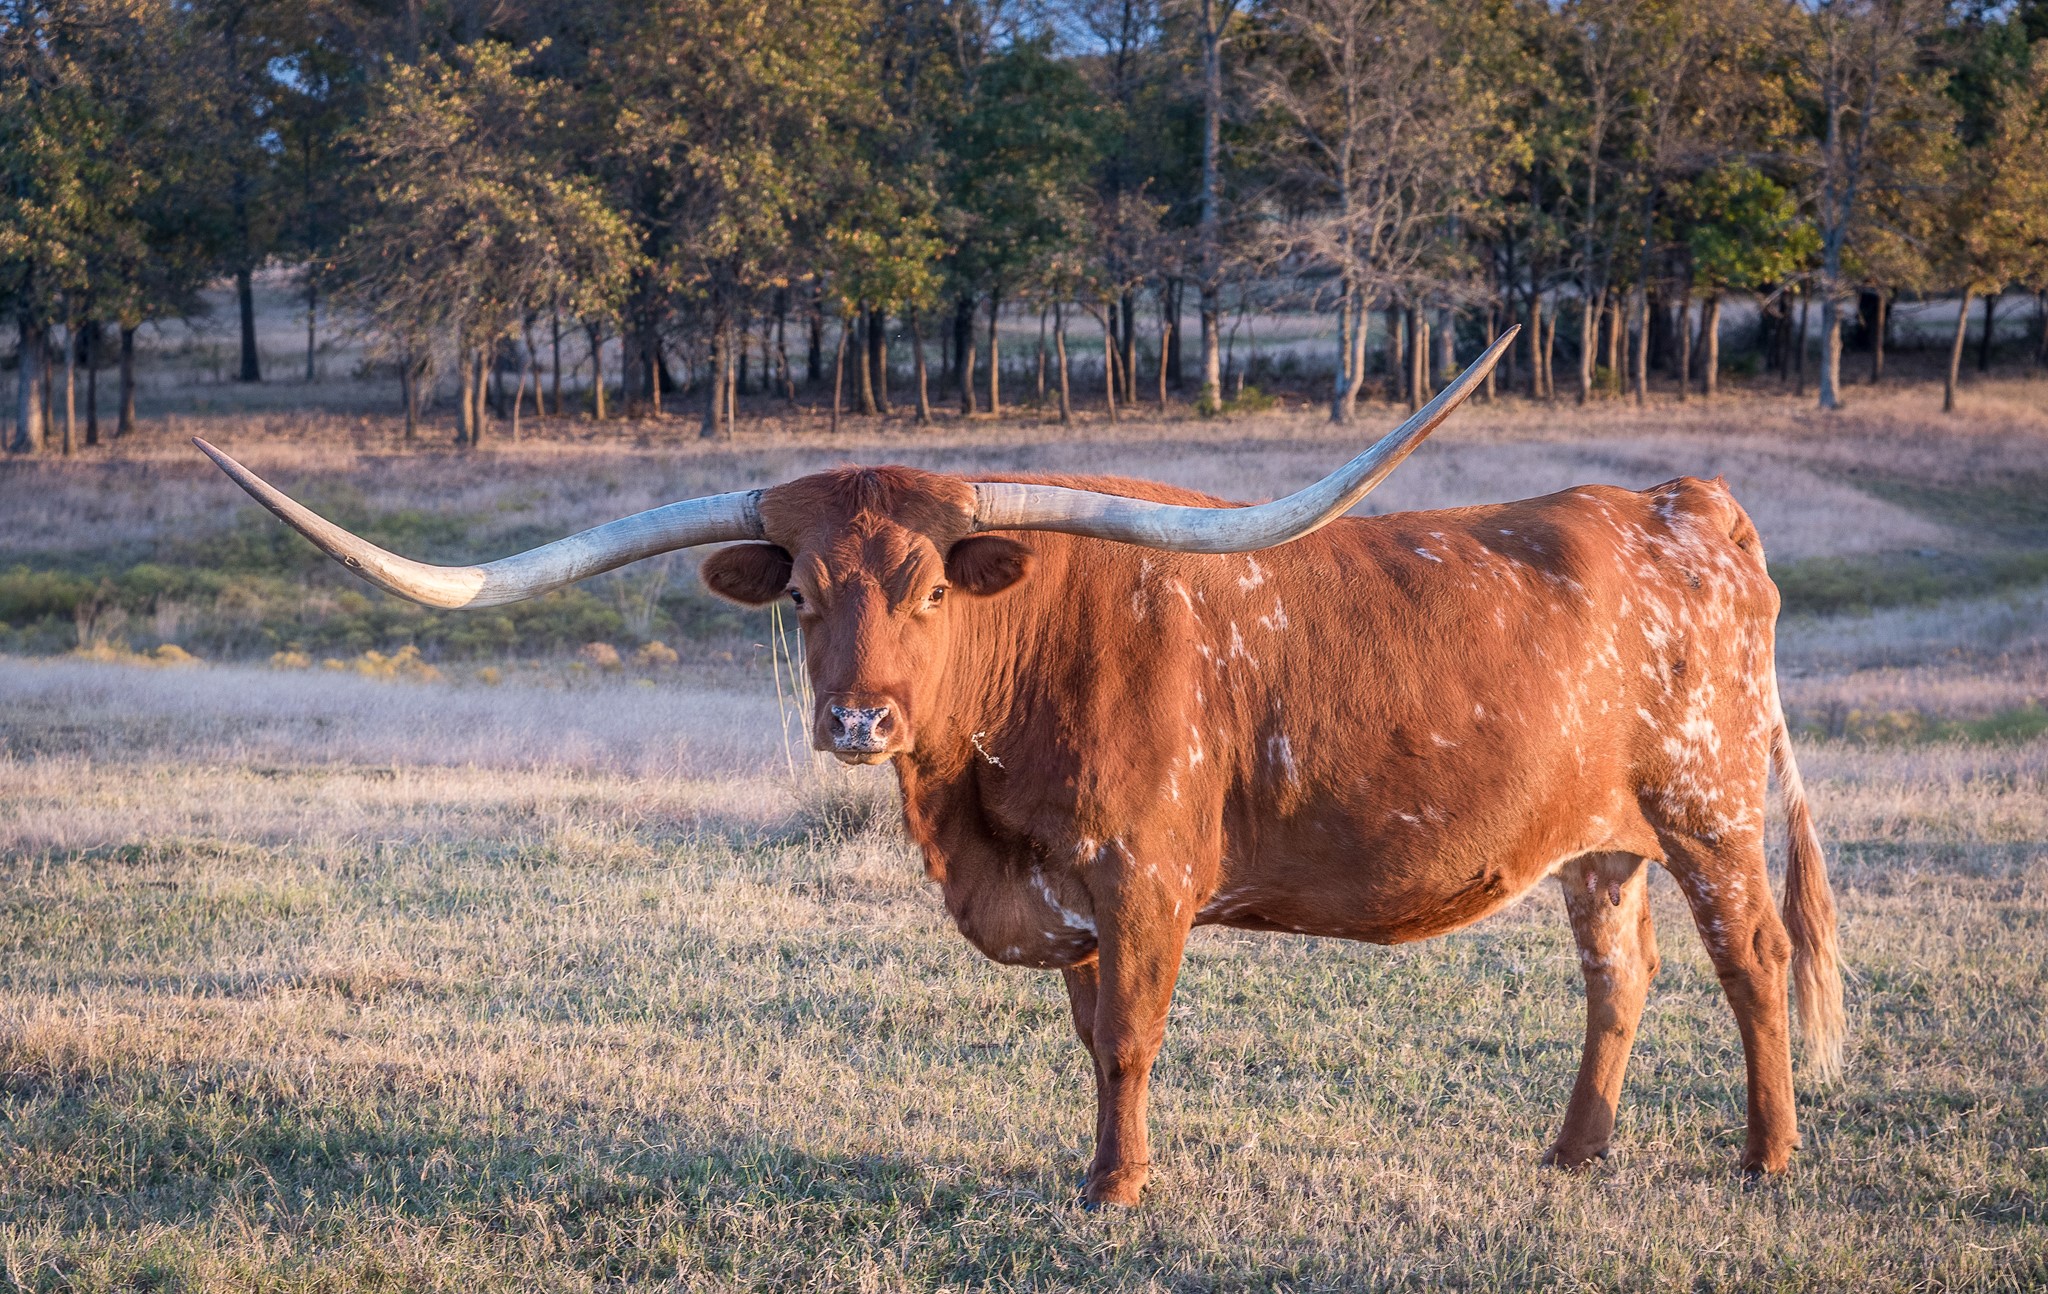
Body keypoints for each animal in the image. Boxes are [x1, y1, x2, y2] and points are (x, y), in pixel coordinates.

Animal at [196, 330, 1844, 1208]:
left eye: (933, 586)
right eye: (802, 592)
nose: (855, 722)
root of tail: (1681, 499)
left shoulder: (1145, 880)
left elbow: (1127, 1040)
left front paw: (1116, 1188)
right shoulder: (1062, 894)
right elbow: (1084, 1036)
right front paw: (1093, 1168)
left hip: (1706, 807)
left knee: (1754, 960)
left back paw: (1768, 1159)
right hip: (1600, 838)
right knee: (1619, 974)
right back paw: (1572, 1155)